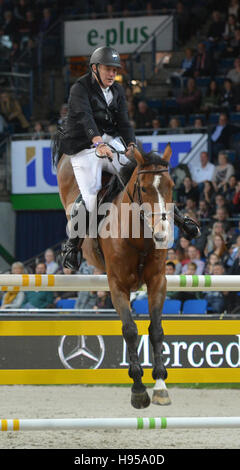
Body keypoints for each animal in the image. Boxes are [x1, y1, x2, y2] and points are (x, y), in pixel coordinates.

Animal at [57, 143, 173, 408]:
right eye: (144, 188)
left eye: (171, 185)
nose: (162, 235)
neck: (139, 238)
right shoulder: (118, 286)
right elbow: (130, 330)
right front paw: (138, 389)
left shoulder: (157, 282)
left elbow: (156, 329)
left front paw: (160, 386)